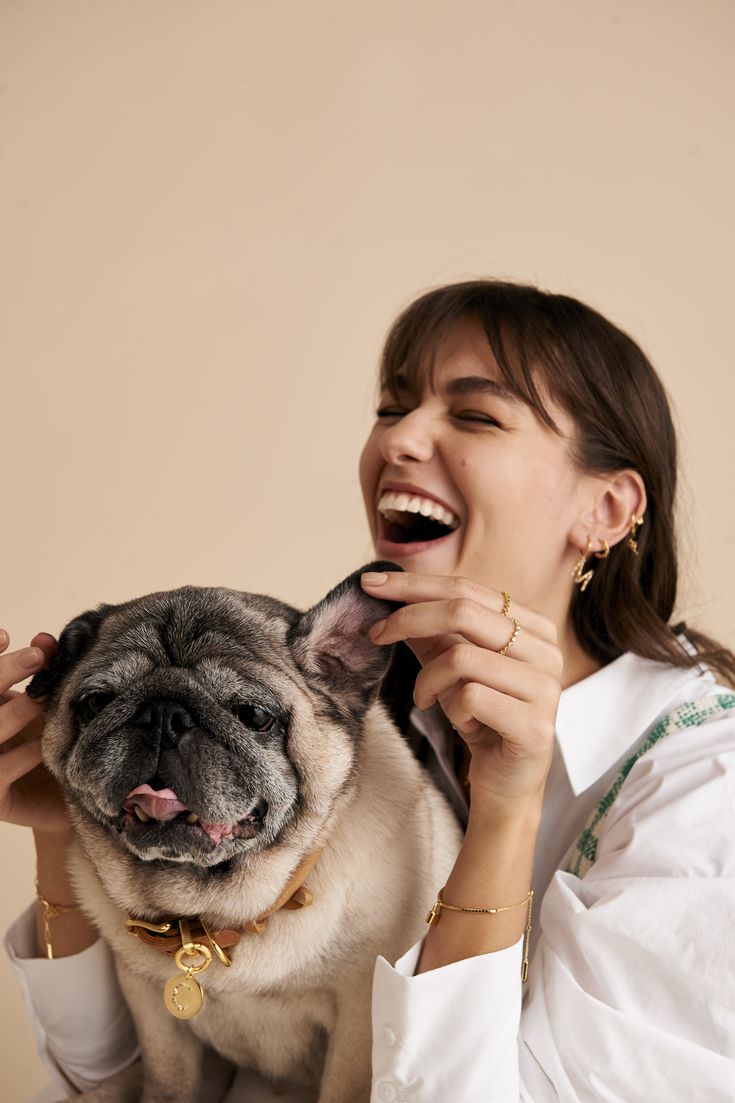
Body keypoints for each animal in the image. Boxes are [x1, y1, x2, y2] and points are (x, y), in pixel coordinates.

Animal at [30, 564, 463, 1103]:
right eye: (95, 702)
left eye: (254, 716)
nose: (163, 714)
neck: (216, 915)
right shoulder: (153, 1017)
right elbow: (168, 1081)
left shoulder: (357, 1025)